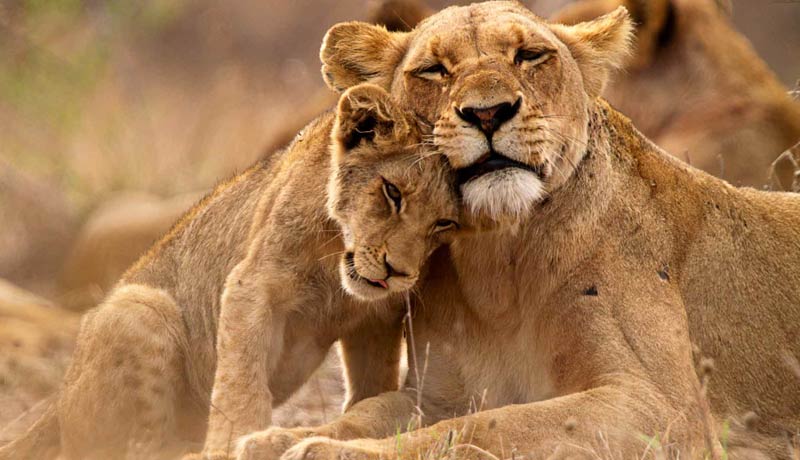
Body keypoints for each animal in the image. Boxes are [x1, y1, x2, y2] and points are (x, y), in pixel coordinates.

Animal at [0, 84, 461, 460]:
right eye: (392, 192)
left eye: (444, 223)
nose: (396, 272)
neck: (336, 264)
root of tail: (57, 401)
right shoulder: (252, 284)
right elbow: (242, 379)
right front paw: (231, 443)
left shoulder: (376, 318)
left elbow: (372, 384)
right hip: (139, 306)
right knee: (128, 448)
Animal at [233, 3, 800, 459]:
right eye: (434, 70)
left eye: (529, 56)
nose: (488, 113)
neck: (498, 264)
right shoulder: (436, 394)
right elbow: (369, 412)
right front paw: (275, 438)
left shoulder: (665, 409)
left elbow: (489, 426)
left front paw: (326, 450)